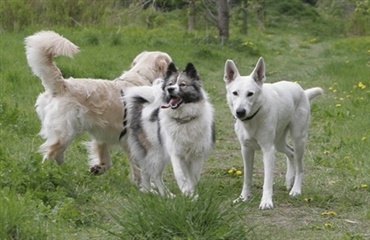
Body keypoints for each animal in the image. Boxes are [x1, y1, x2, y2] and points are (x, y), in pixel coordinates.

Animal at [24, 30, 172, 180]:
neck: (142, 77)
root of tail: (62, 85)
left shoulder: (104, 133)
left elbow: (106, 159)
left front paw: (98, 168)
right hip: (65, 134)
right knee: (49, 156)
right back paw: (47, 173)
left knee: (57, 155)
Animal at [123, 62, 214, 197]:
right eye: (170, 84)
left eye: (182, 84)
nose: (169, 89)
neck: (184, 120)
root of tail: (144, 107)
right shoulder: (175, 152)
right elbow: (180, 174)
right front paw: (186, 191)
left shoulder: (197, 154)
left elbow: (193, 177)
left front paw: (192, 194)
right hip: (157, 153)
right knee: (155, 175)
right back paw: (167, 195)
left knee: (146, 173)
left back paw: (149, 191)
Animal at [224, 57, 322, 209]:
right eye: (235, 93)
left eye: (250, 94)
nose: (240, 112)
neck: (253, 119)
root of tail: (302, 91)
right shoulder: (246, 150)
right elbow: (247, 178)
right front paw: (243, 198)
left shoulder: (268, 150)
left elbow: (267, 181)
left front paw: (266, 201)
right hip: (279, 142)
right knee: (290, 152)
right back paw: (289, 179)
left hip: (298, 139)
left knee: (300, 165)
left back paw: (296, 189)